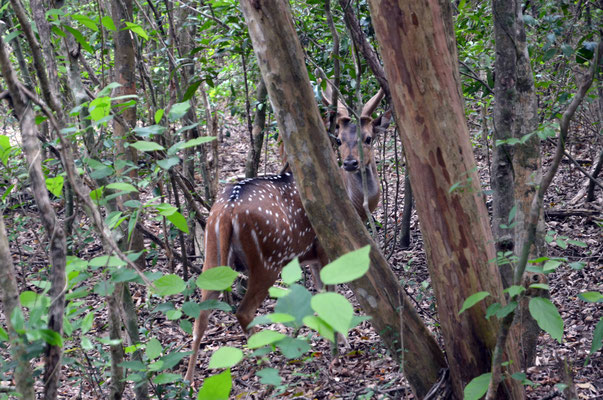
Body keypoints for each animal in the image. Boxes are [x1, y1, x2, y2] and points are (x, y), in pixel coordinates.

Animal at [185, 85, 392, 382]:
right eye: (339, 140)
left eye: (368, 138)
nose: (351, 163)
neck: (353, 203)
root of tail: (226, 210)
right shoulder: (326, 249)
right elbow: (330, 293)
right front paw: (341, 343)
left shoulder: (313, 256)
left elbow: (319, 294)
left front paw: (333, 339)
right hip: (268, 258)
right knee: (243, 310)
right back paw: (265, 359)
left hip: (212, 252)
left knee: (200, 315)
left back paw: (188, 380)